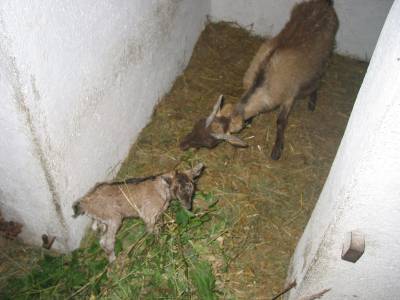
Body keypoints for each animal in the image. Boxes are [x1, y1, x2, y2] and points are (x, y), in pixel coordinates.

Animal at [180, 0, 340, 159]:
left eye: (210, 143)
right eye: (198, 123)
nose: (182, 145)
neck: (262, 81)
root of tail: (323, 3)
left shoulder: (289, 97)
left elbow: (281, 122)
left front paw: (277, 150)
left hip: (324, 55)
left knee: (318, 77)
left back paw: (312, 102)